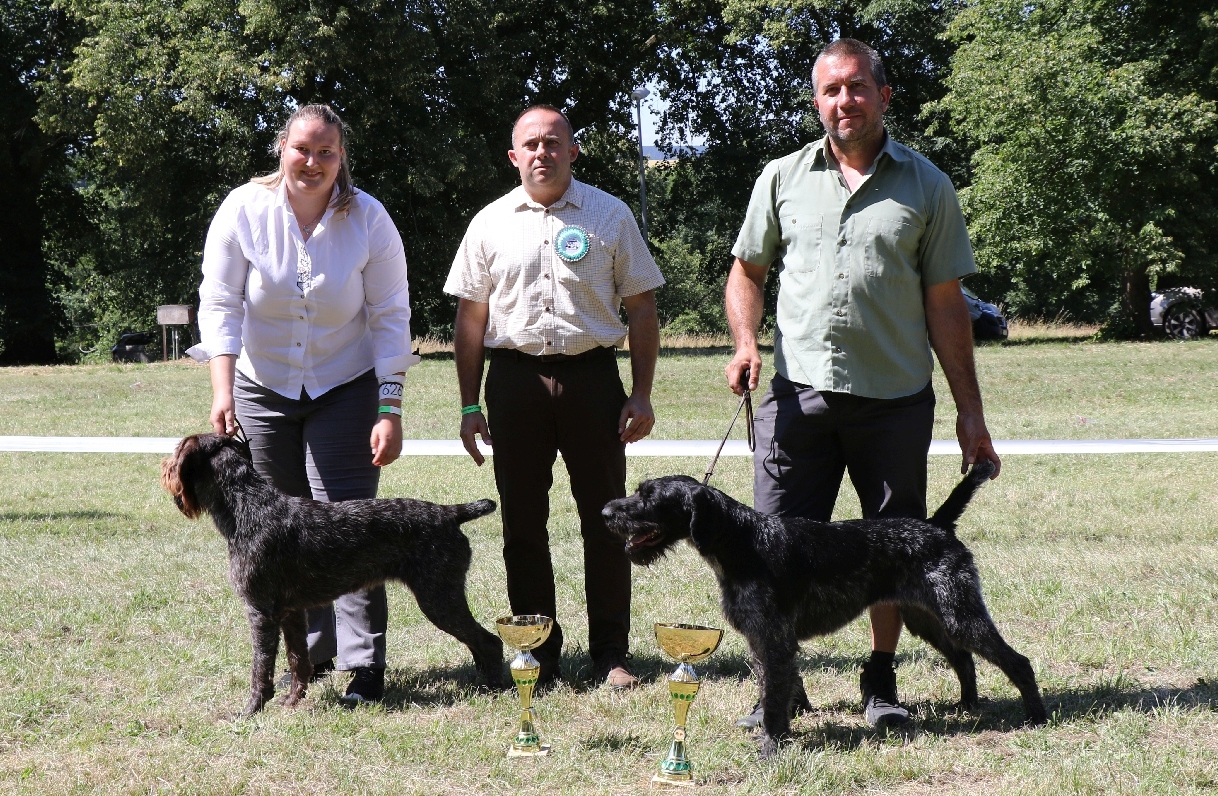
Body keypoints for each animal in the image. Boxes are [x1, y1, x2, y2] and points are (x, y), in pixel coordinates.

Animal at [161, 433, 504, 720]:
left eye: (177, 451)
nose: (164, 468)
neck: (248, 506)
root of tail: (450, 512)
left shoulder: (261, 612)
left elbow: (260, 668)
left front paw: (250, 711)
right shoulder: (291, 613)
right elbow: (299, 659)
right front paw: (292, 700)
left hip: (438, 598)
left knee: (490, 640)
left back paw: (495, 687)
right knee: (477, 642)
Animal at [601, 464, 1047, 759]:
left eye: (649, 497)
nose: (606, 513)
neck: (740, 541)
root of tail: (937, 525)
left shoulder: (775, 640)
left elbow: (775, 699)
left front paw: (771, 748)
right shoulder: (761, 640)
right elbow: (772, 692)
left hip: (959, 613)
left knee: (1016, 661)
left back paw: (1037, 717)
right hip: (929, 618)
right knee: (963, 658)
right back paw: (968, 705)